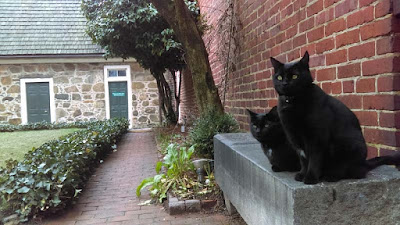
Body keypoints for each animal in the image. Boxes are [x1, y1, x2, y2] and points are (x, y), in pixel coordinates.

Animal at [268, 52, 400, 185]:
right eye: (279, 77)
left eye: (295, 76)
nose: (285, 83)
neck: (292, 101)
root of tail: (365, 163)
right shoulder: (294, 137)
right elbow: (303, 159)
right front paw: (302, 174)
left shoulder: (316, 137)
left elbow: (314, 159)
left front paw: (310, 177)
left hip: (346, 146)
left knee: (351, 171)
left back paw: (331, 176)